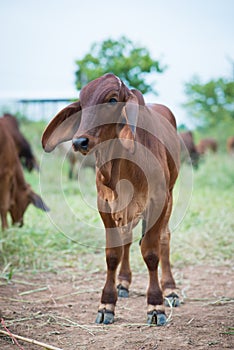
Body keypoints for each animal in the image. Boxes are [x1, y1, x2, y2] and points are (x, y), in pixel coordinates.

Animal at [42, 73, 180, 326]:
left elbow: (151, 252)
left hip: (171, 195)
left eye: (113, 100)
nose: (79, 142)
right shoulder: (104, 206)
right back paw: (123, 283)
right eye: (82, 103)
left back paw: (171, 290)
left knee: (165, 238)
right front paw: (107, 304)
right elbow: (113, 254)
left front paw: (155, 306)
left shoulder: (158, 200)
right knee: (126, 240)